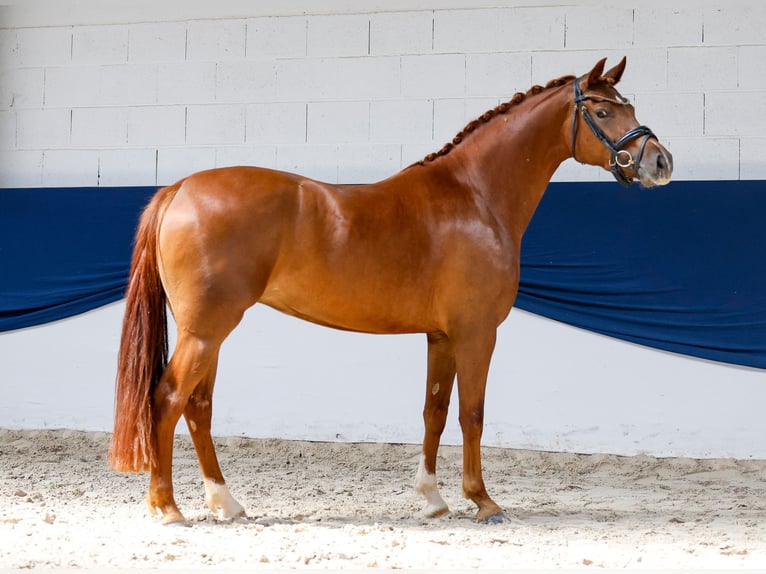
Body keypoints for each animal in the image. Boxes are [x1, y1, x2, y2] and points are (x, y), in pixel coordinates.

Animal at [109, 57, 673, 525]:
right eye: (603, 110)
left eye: (631, 105)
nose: (660, 162)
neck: (475, 195)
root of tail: (180, 189)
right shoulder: (476, 333)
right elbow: (472, 414)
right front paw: (483, 501)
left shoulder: (440, 336)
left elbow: (434, 412)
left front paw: (433, 499)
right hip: (206, 330)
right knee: (167, 399)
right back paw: (167, 508)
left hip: (210, 331)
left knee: (198, 406)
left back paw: (225, 503)